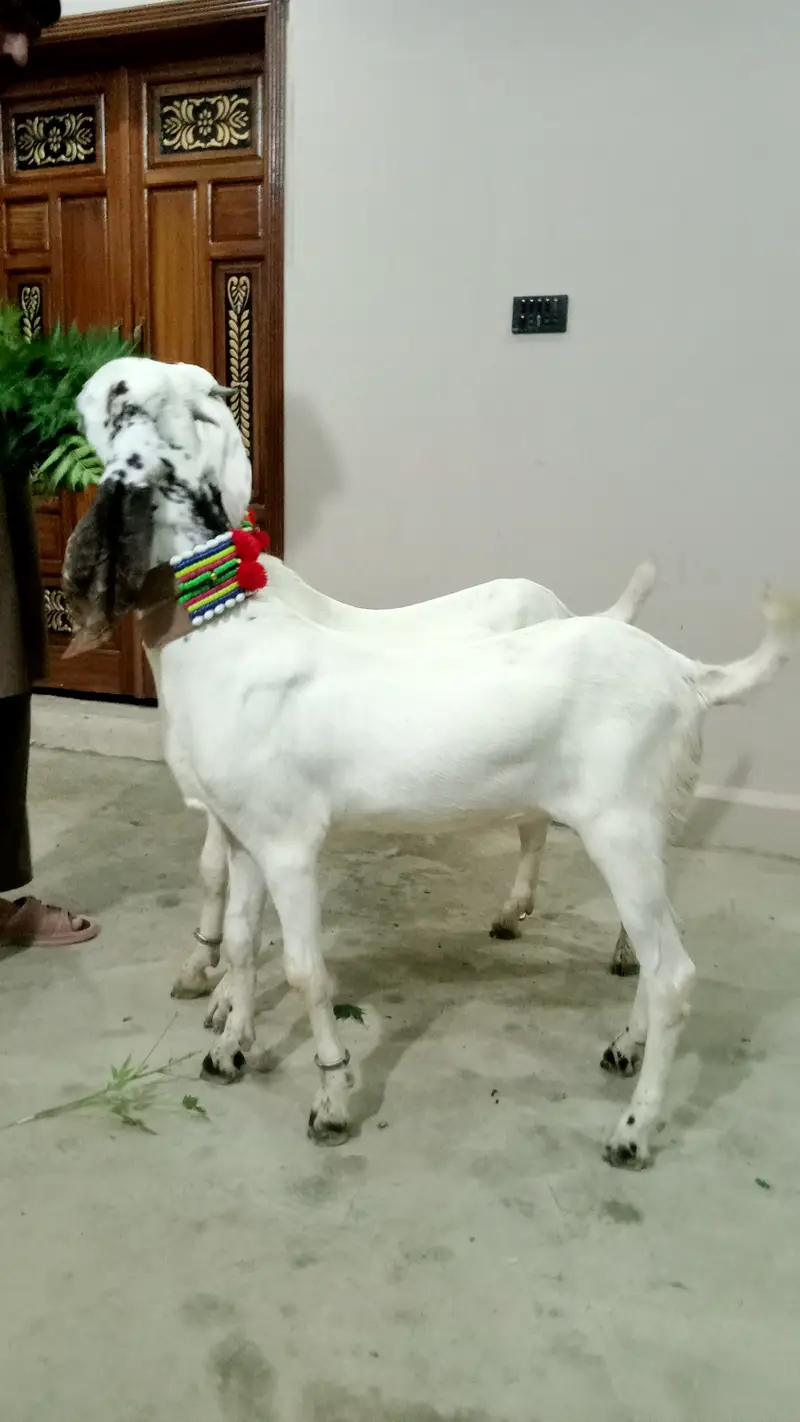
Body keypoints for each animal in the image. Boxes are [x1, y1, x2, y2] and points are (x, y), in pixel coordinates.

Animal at [65, 357, 797, 1167]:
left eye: (122, 396)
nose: (88, 383)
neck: (230, 629)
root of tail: (688, 674)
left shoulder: (289, 845)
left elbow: (305, 970)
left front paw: (332, 1099)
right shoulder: (243, 834)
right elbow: (240, 940)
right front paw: (231, 1046)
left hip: (623, 828)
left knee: (673, 974)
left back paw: (633, 1130)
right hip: (643, 829)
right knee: (660, 949)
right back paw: (621, 1045)